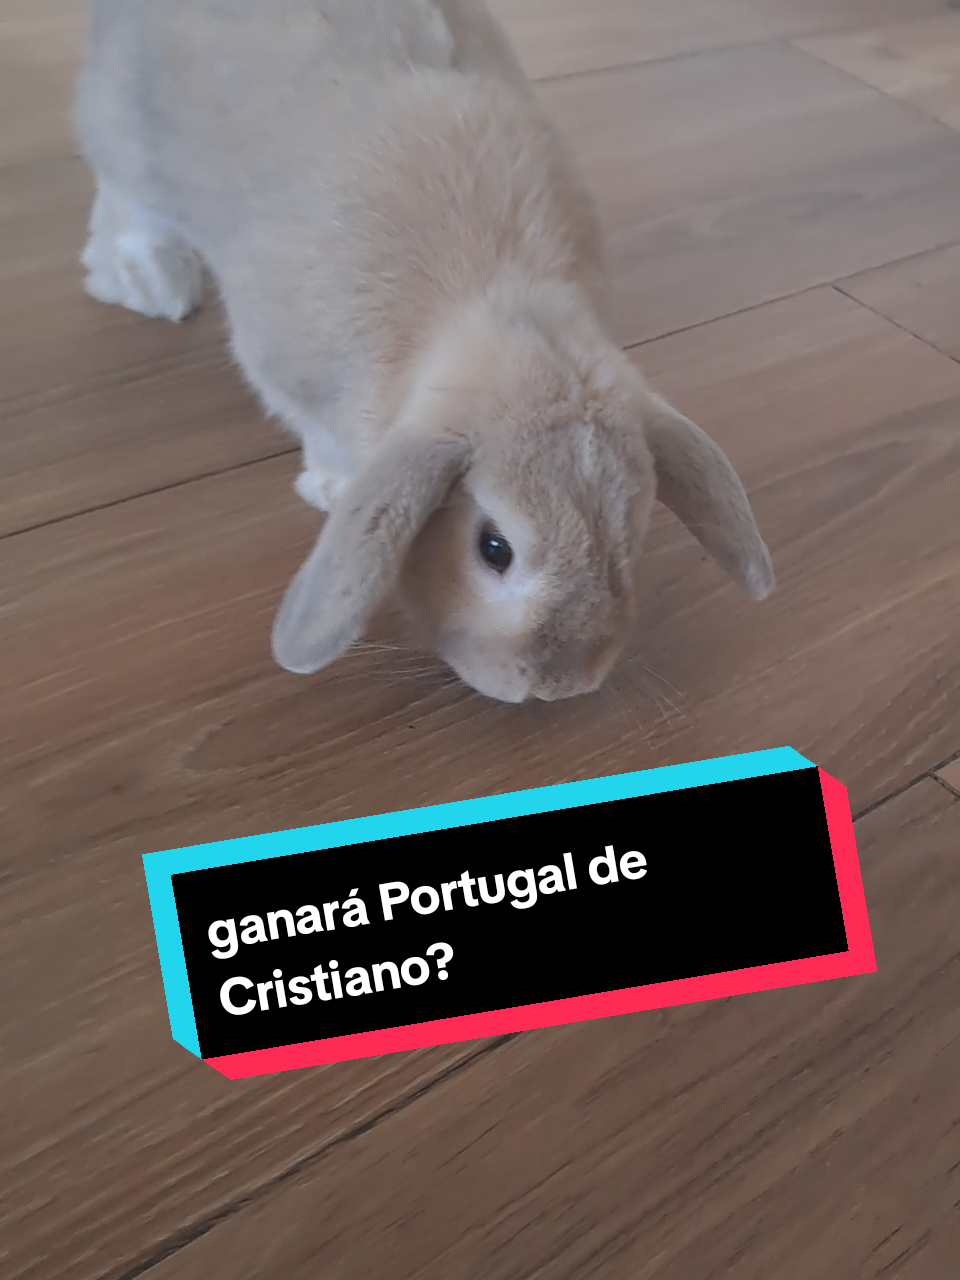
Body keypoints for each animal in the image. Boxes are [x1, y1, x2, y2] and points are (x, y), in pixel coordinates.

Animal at [75, 0, 774, 704]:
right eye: (493, 548)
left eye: (632, 532)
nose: (560, 683)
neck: (501, 303)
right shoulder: (287, 368)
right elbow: (316, 432)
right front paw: (331, 487)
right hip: (128, 133)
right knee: (124, 198)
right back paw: (149, 282)